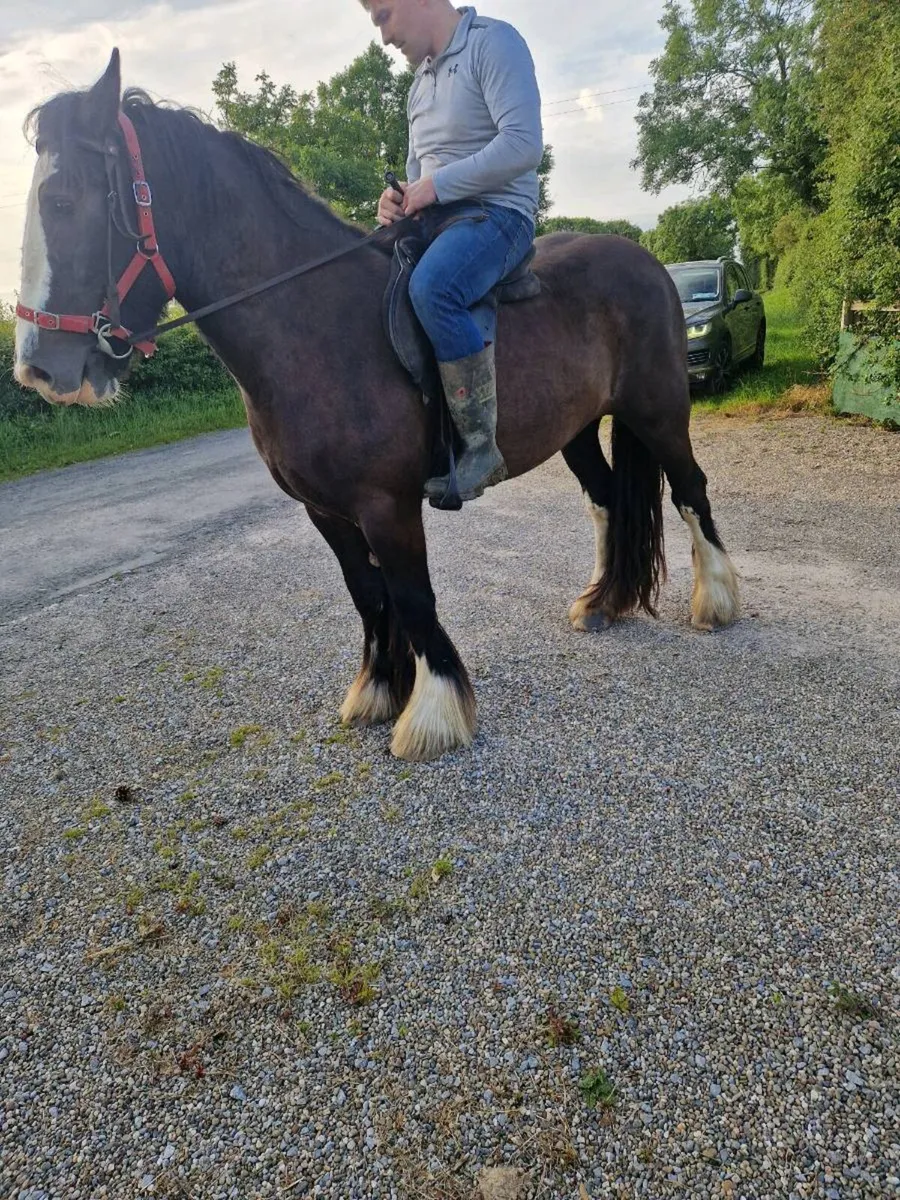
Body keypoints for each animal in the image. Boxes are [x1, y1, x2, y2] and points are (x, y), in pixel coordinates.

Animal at [13, 51, 740, 762]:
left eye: (64, 199)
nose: (38, 368)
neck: (313, 325)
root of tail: (645, 259)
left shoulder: (387, 503)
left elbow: (412, 594)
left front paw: (435, 711)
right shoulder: (326, 510)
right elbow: (369, 594)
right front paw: (377, 688)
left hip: (657, 409)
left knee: (691, 489)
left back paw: (717, 600)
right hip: (580, 428)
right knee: (609, 500)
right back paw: (602, 601)